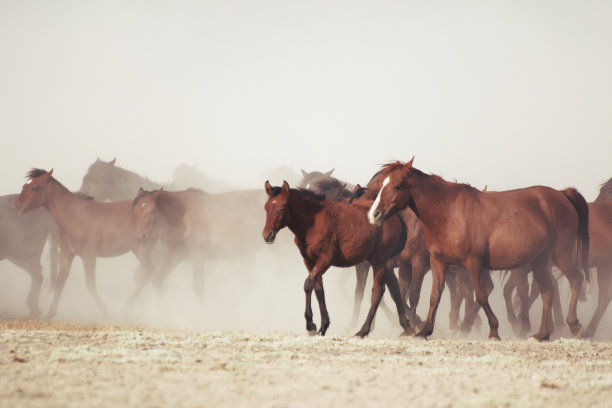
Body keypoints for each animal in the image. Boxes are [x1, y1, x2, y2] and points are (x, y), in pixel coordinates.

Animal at [13, 169, 154, 318]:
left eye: (35, 187)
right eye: (24, 186)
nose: (15, 207)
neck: (74, 215)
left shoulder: (89, 255)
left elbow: (90, 285)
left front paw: (106, 313)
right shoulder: (66, 254)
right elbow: (60, 282)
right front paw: (50, 314)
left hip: (142, 248)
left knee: (148, 272)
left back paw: (127, 310)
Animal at [260, 182, 414, 338]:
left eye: (282, 208)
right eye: (266, 207)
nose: (267, 235)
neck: (313, 222)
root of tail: (396, 217)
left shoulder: (325, 260)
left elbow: (308, 284)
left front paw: (310, 325)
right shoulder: (309, 261)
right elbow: (319, 289)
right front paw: (323, 325)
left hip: (379, 261)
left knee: (378, 292)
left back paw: (363, 330)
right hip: (384, 263)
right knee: (395, 289)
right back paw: (407, 328)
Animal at [366, 159, 592, 342]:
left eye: (396, 186)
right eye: (380, 185)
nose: (374, 215)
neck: (449, 213)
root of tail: (562, 194)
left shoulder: (472, 263)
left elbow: (481, 295)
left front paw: (493, 330)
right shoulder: (438, 261)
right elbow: (434, 295)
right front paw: (425, 331)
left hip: (560, 253)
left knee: (575, 279)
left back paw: (574, 325)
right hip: (539, 260)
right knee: (548, 291)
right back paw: (542, 334)